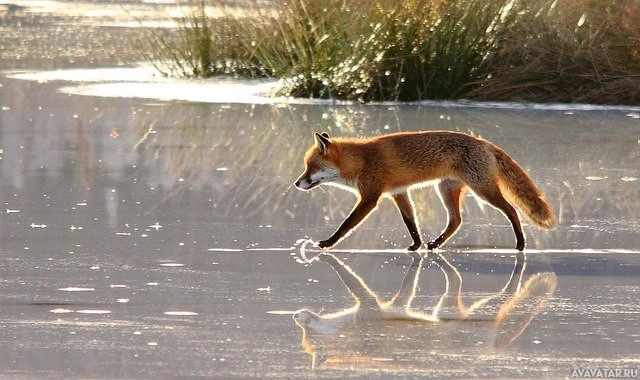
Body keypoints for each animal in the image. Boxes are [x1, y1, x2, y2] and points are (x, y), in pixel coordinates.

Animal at [296, 131, 556, 252]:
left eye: (311, 167)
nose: (297, 184)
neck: (361, 160)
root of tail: (485, 142)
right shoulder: (399, 193)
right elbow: (411, 223)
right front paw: (416, 245)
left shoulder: (370, 198)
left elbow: (346, 224)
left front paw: (328, 243)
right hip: (446, 190)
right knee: (456, 220)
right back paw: (435, 244)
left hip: (483, 190)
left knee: (512, 210)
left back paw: (521, 243)